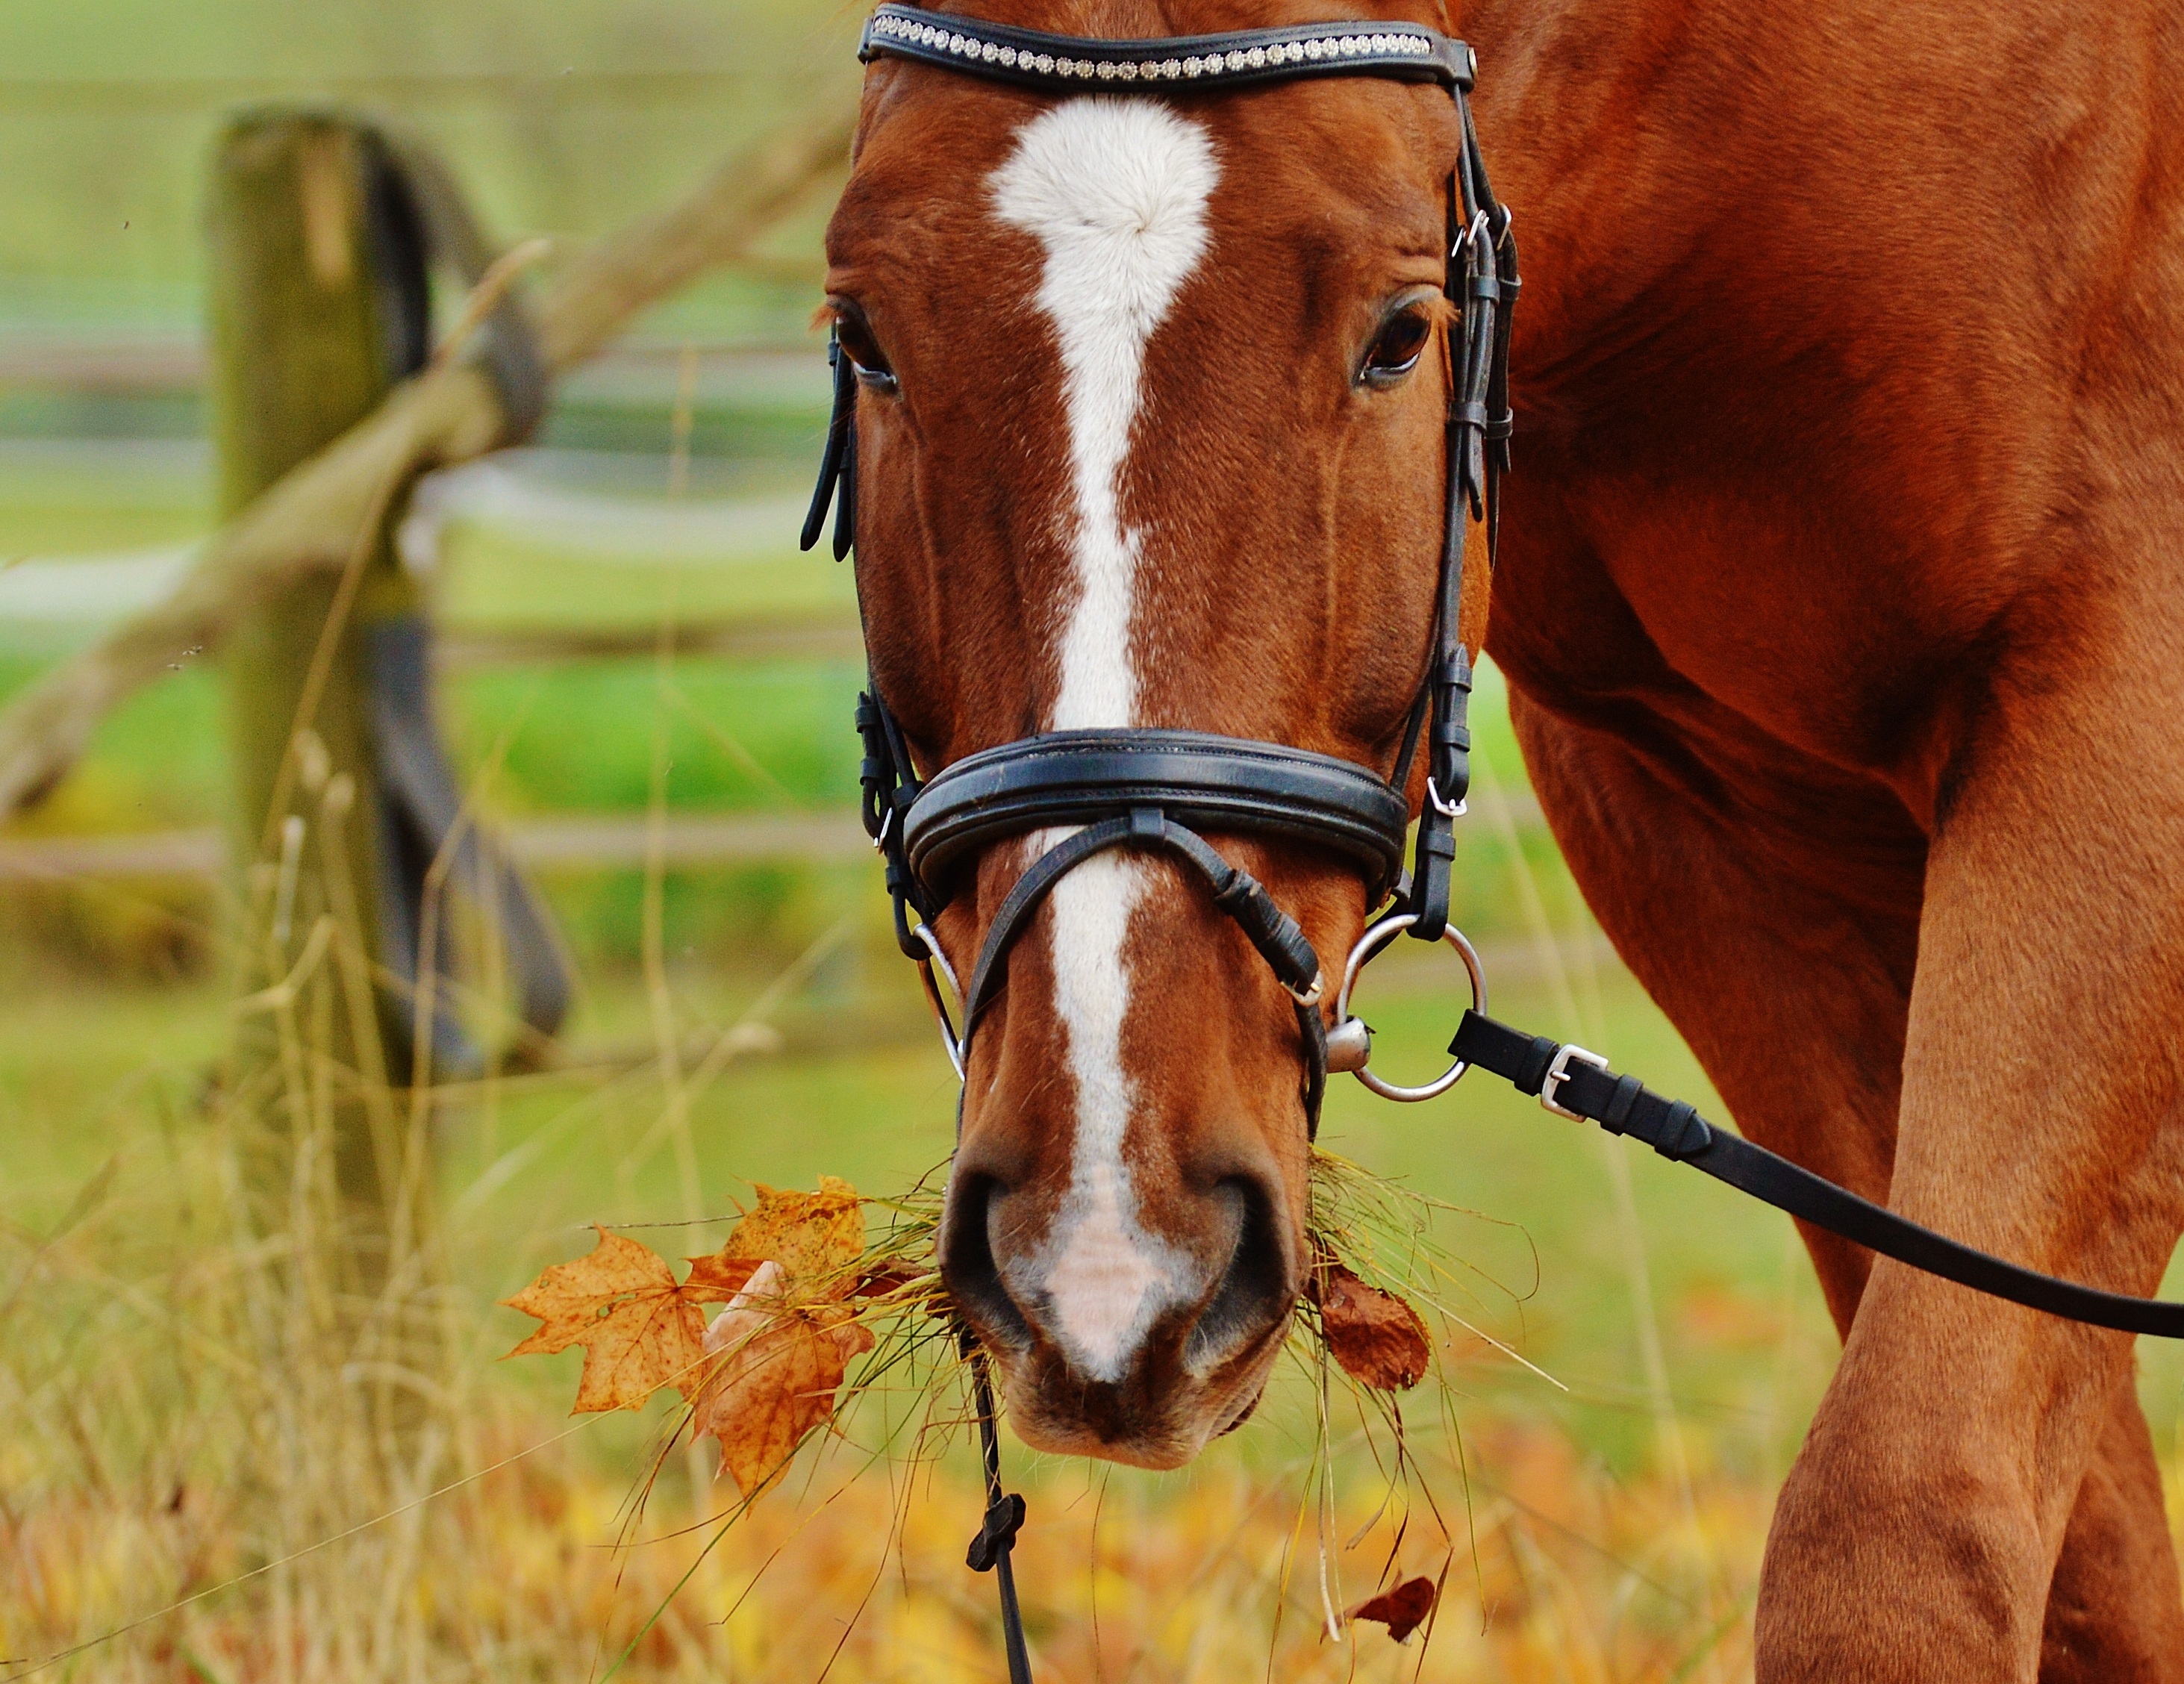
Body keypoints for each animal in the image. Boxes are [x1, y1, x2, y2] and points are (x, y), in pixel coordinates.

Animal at [821, 3, 2184, 1668]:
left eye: (1401, 333)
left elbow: (1907, 1520)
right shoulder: (1700, 821)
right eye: (866, 336)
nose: (1105, 1258)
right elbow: (2089, 1561)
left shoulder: (2120, 716)